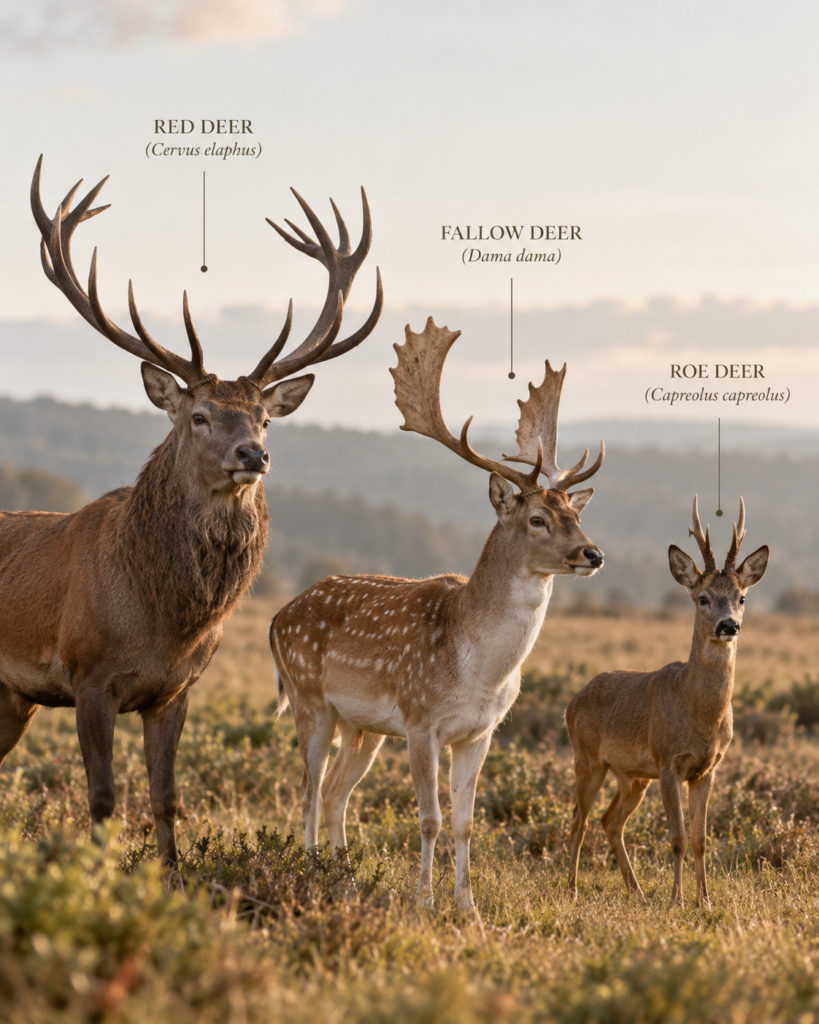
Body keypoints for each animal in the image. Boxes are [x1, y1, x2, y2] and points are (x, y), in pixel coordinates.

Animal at [0, 156, 382, 866]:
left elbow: (166, 799)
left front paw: (170, 876)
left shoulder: (175, 690)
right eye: (200, 415)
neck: (162, 617)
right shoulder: (87, 677)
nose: (254, 454)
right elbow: (103, 799)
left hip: (13, 697)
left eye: (264, 417)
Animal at [269, 317, 605, 907]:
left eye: (575, 513)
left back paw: (345, 880)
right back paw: (310, 875)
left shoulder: (480, 732)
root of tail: (275, 619)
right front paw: (424, 900)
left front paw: (466, 903)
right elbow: (428, 818)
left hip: (363, 727)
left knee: (334, 794)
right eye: (538, 519)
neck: (477, 669)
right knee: (307, 792)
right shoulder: (420, 718)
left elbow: (466, 822)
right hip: (310, 700)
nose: (592, 554)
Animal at [565, 497, 769, 908]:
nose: (729, 625)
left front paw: (705, 900)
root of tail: (571, 703)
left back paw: (638, 893)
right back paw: (573, 889)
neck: (699, 715)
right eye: (703, 598)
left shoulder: (707, 769)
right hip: (588, 758)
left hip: (631, 776)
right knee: (579, 819)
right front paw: (677, 901)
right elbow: (677, 839)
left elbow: (701, 839)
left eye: (742, 598)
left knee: (610, 821)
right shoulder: (668, 762)